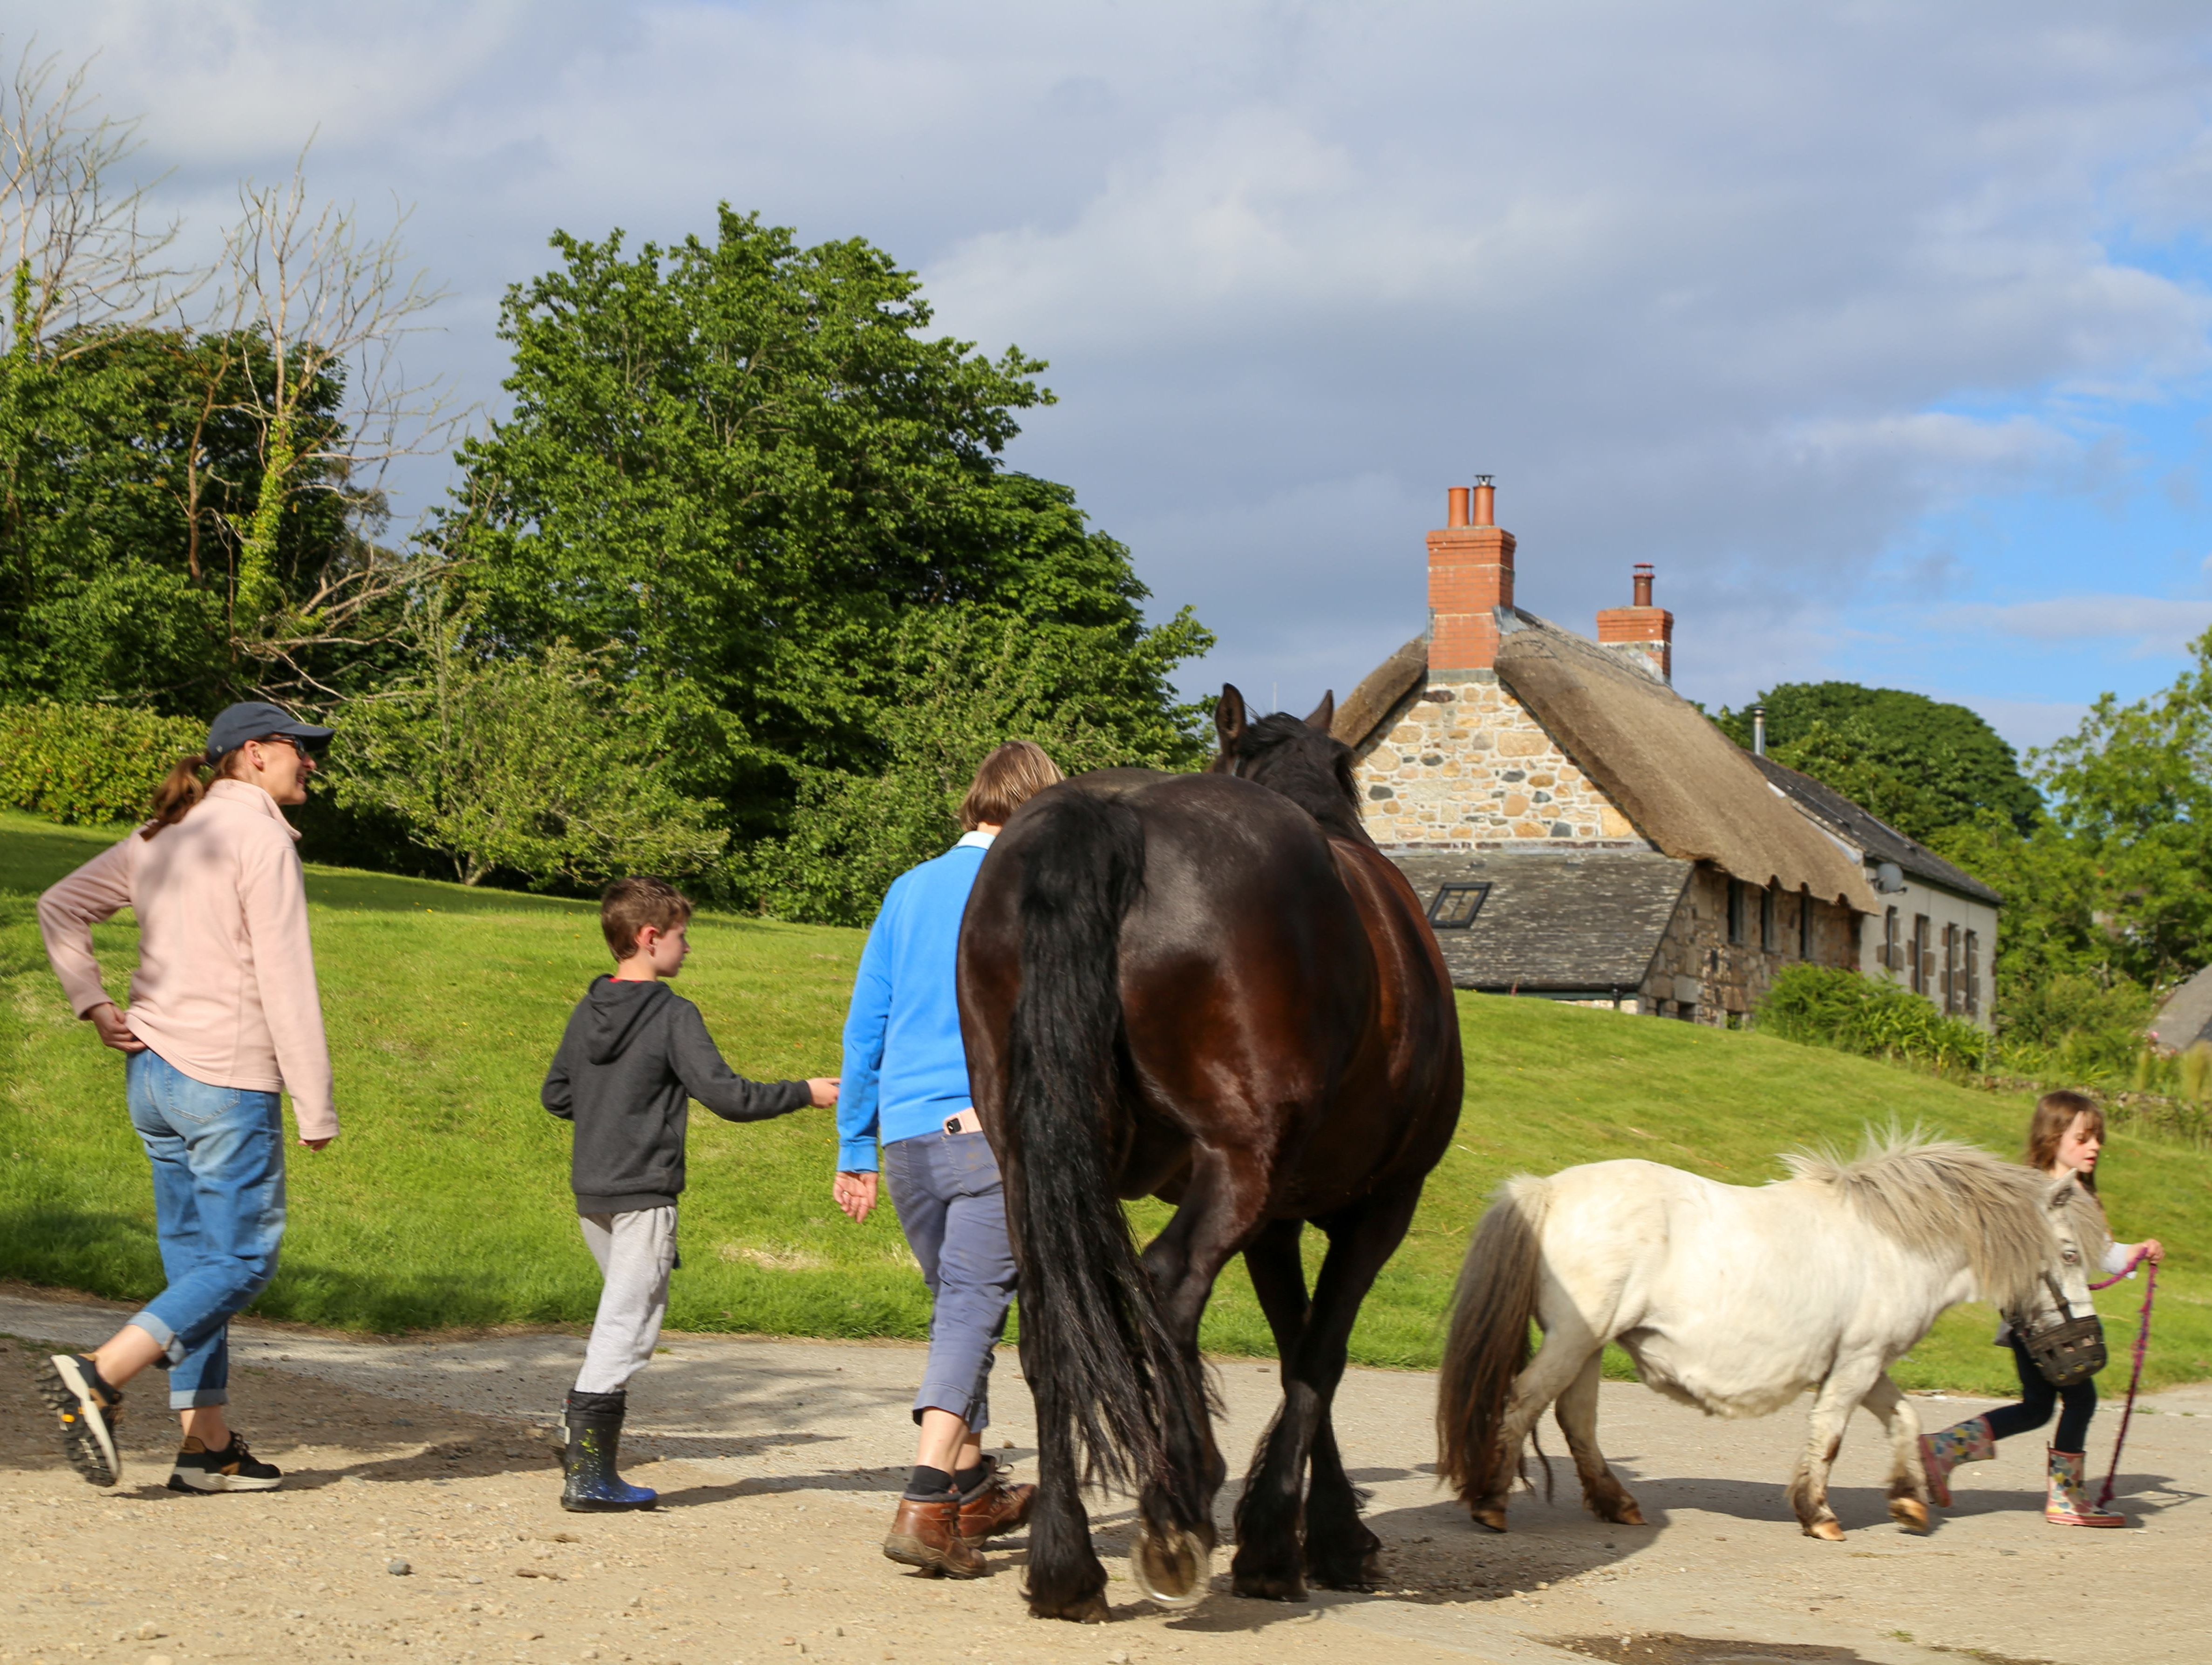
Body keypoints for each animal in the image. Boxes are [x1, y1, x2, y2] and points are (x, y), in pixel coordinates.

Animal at [955, 688, 1464, 1621]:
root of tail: (1107, 814)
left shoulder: (1276, 1221)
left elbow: (1298, 1342)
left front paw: (1302, 1533)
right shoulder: (1379, 1205)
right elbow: (1320, 1353)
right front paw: (1299, 1537)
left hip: (1031, 1163)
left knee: (1053, 1323)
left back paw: (1066, 1565)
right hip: (1237, 1163)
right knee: (1168, 1285)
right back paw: (1176, 1505)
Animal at [1434, 1136, 2106, 1541]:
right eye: (2070, 1253)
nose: (2090, 1350)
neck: (1898, 1241)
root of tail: (1546, 1190)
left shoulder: (1866, 1362)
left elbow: (1905, 1419)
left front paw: (1910, 1499)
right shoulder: (1856, 1364)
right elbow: (1830, 1436)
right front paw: (1819, 1513)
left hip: (1591, 1343)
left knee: (1576, 1418)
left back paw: (1615, 1502)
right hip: (1576, 1338)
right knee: (1524, 1402)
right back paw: (1491, 1500)